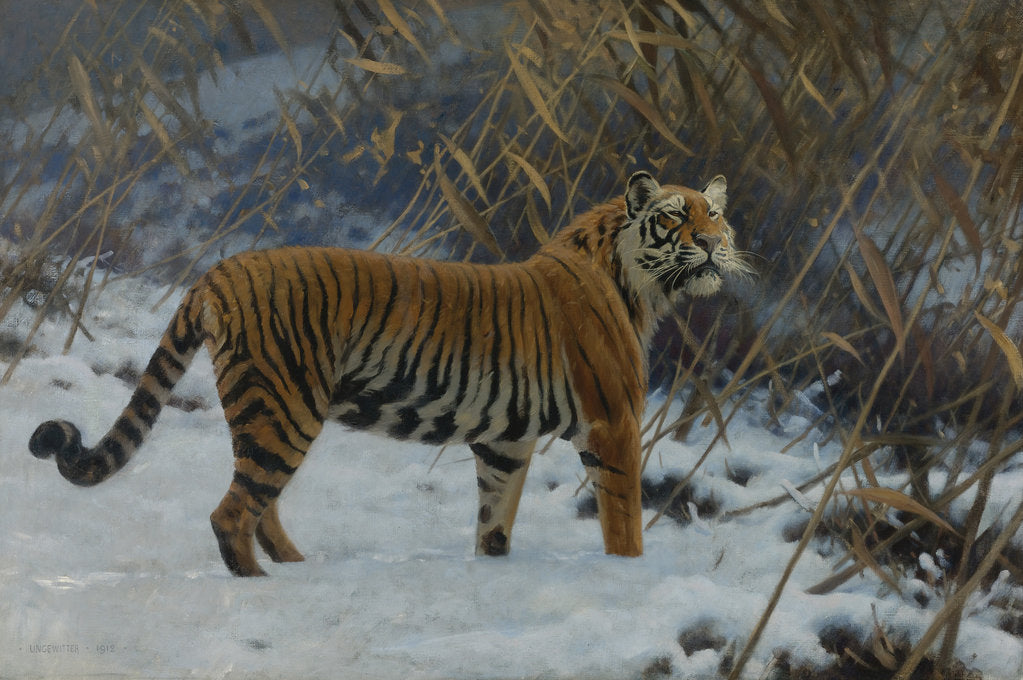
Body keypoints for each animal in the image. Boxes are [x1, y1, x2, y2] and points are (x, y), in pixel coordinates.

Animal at [28, 171, 750, 576]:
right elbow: (623, 522)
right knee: (232, 513)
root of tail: (219, 269)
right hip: (285, 408)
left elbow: (494, 519)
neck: (642, 285)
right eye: (676, 216)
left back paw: (298, 569)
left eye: (716, 213)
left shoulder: (505, 441)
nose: (714, 243)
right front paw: (628, 575)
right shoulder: (613, 422)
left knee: (258, 504)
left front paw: (494, 571)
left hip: (266, 412)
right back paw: (264, 586)